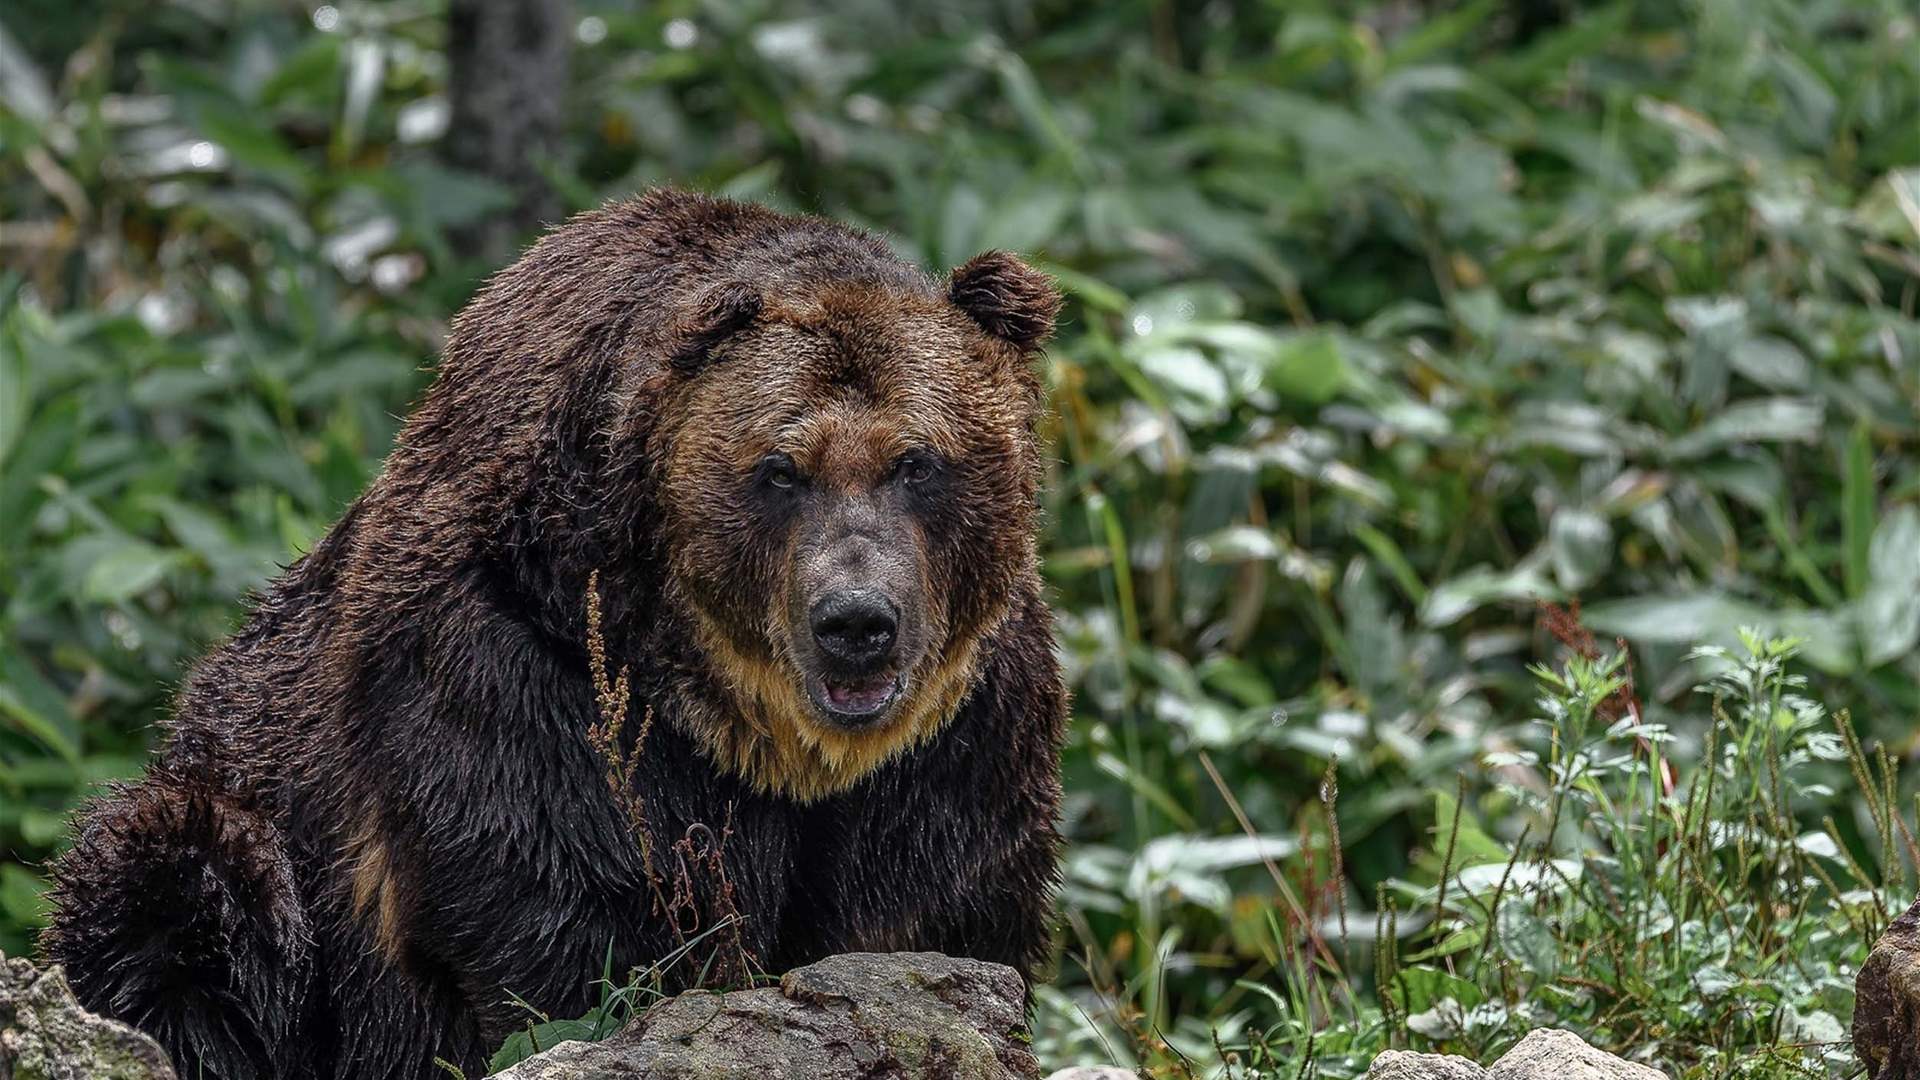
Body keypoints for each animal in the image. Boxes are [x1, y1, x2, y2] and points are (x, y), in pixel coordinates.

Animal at [41, 189, 1068, 1080]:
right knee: (182, 887)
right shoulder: (518, 667)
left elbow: (927, 917)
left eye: (916, 462)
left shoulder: (962, 729)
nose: (857, 622)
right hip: (249, 806)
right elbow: (569, 924)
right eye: (780, 469)